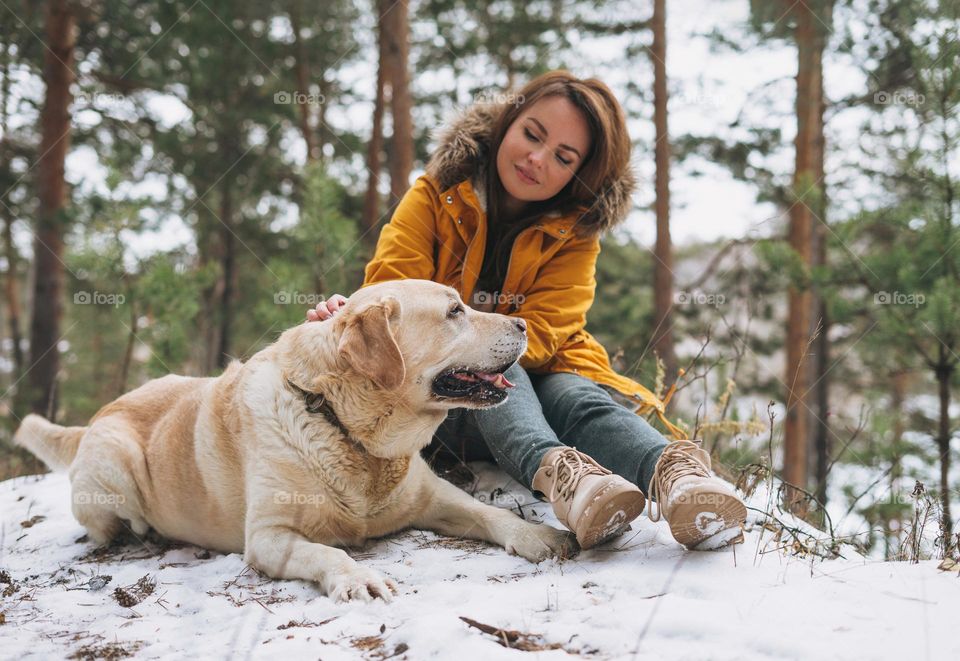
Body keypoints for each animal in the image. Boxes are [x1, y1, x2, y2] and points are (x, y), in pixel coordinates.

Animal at [15, 282, 572, 600]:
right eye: (455, 311)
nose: (523, 321)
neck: (342, 424)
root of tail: (95, 419)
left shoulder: (433, 494)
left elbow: (487, 512)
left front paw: (537, 535)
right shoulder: (268, 537)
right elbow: (328, 553)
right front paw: (357, 578)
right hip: (115, 460)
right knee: (112, 524)